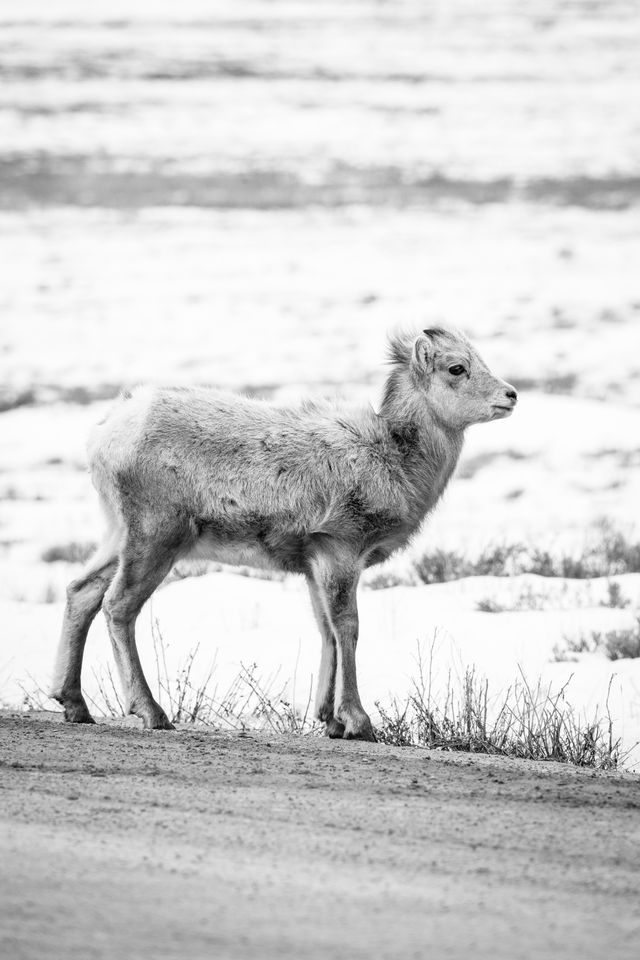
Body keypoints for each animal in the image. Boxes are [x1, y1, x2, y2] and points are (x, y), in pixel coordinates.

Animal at [52, 326, 516, 740]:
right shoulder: (339, 550)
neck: (395, 459)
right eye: (457, 367)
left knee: (82, 591)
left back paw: (74, 705)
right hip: (156, 538)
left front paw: (330, 721)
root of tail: (105, 433)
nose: (510, 395)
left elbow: (326, 630)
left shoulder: (314, 564)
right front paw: (358, 723)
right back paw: (152, 713)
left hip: (119, 536)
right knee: (118, 606)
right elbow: (347, 627)